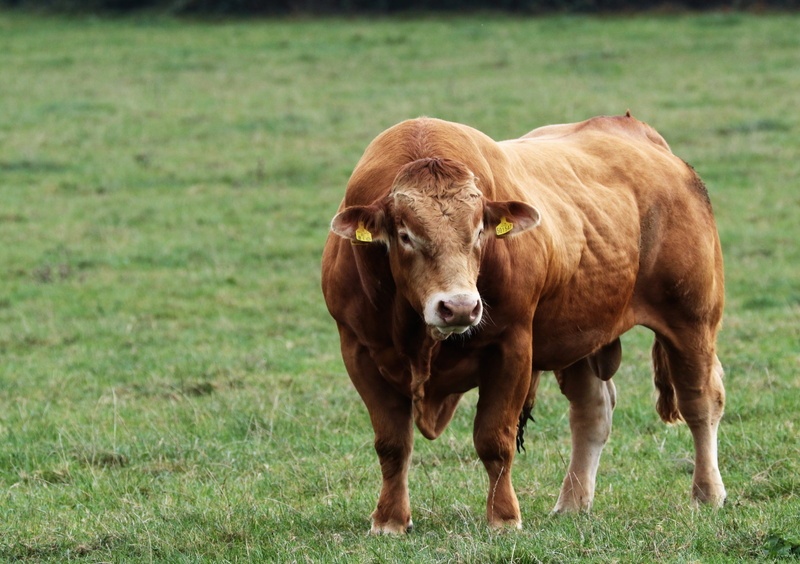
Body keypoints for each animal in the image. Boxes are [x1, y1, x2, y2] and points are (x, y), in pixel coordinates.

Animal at [321, 113, 726, 533]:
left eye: (479, 231)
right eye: (404, 235)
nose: (460, 308)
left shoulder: (511, 347)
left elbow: (493, 439)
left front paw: (502, 516)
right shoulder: (358, 351)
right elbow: (392, 444)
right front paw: (389, 520)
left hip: (691, 320)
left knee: (700, 402)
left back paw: (707, 492)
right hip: (577, 336)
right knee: (592, 412)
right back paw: (573, 501)